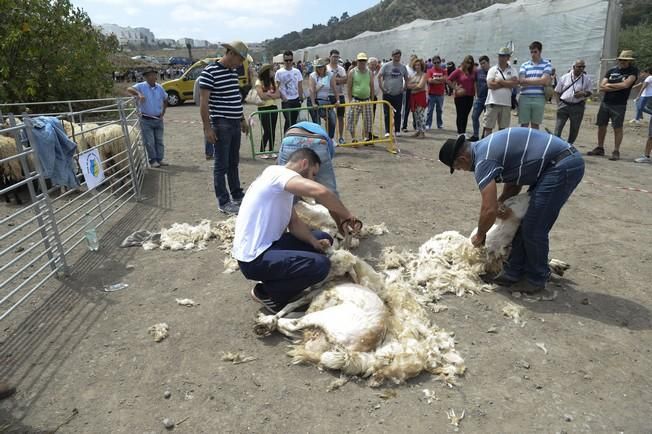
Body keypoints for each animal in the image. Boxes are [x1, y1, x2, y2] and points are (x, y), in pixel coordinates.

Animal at [252, 193, 568, 386]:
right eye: (515, 197)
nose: (530, 193)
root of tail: (354, 349)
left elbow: (291, 309)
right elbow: (291, 304)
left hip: (327, 320)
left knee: (296, 325)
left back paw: (266, 325)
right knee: (296, 326)